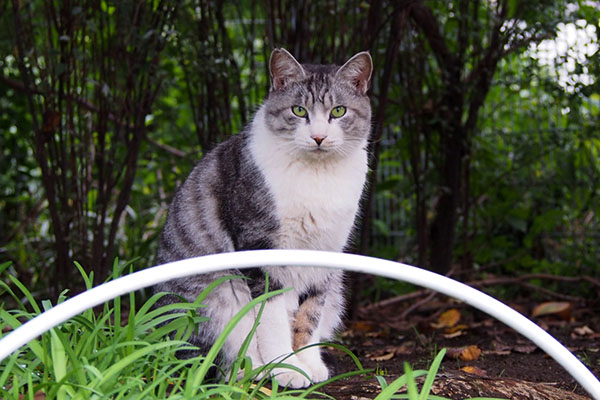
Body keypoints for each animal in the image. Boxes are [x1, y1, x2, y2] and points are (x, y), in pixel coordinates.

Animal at [154, 47, 370, 388]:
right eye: (298, 110)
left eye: (338, 111)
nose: (319, 137)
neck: (317, 175)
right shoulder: (259, 246)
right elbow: (272, 317)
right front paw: (286, 368)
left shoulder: (326, 253)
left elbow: (310, 314)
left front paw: (308, 364)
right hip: (217, 296)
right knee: (219, 357)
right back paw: (253, 370)